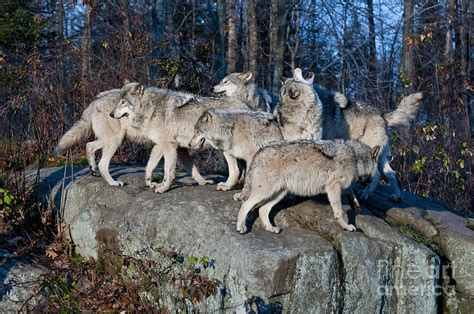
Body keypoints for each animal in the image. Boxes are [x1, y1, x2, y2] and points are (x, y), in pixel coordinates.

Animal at [54, 88, 215, 188]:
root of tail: (95, 100)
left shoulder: (173, 148)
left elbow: (192, 170)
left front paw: (203, 182)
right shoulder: (170, 146)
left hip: (113, 140)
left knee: (89, 145)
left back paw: (92, 169)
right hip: (115, 141)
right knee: (102, 164)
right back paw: (113, 183)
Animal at [235, 140, 380, 233]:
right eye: (375, 171)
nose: (368, 181)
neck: (355, 157)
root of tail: (259, 152)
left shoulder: (338, 187)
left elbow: (351, 190)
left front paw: (356, 204)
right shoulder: (333, 187)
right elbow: (338, 212)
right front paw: (346, 226)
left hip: (279, 194)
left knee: (262, 210)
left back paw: (271, 228)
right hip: (265, 192)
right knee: (245, 205)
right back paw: (241, 227)